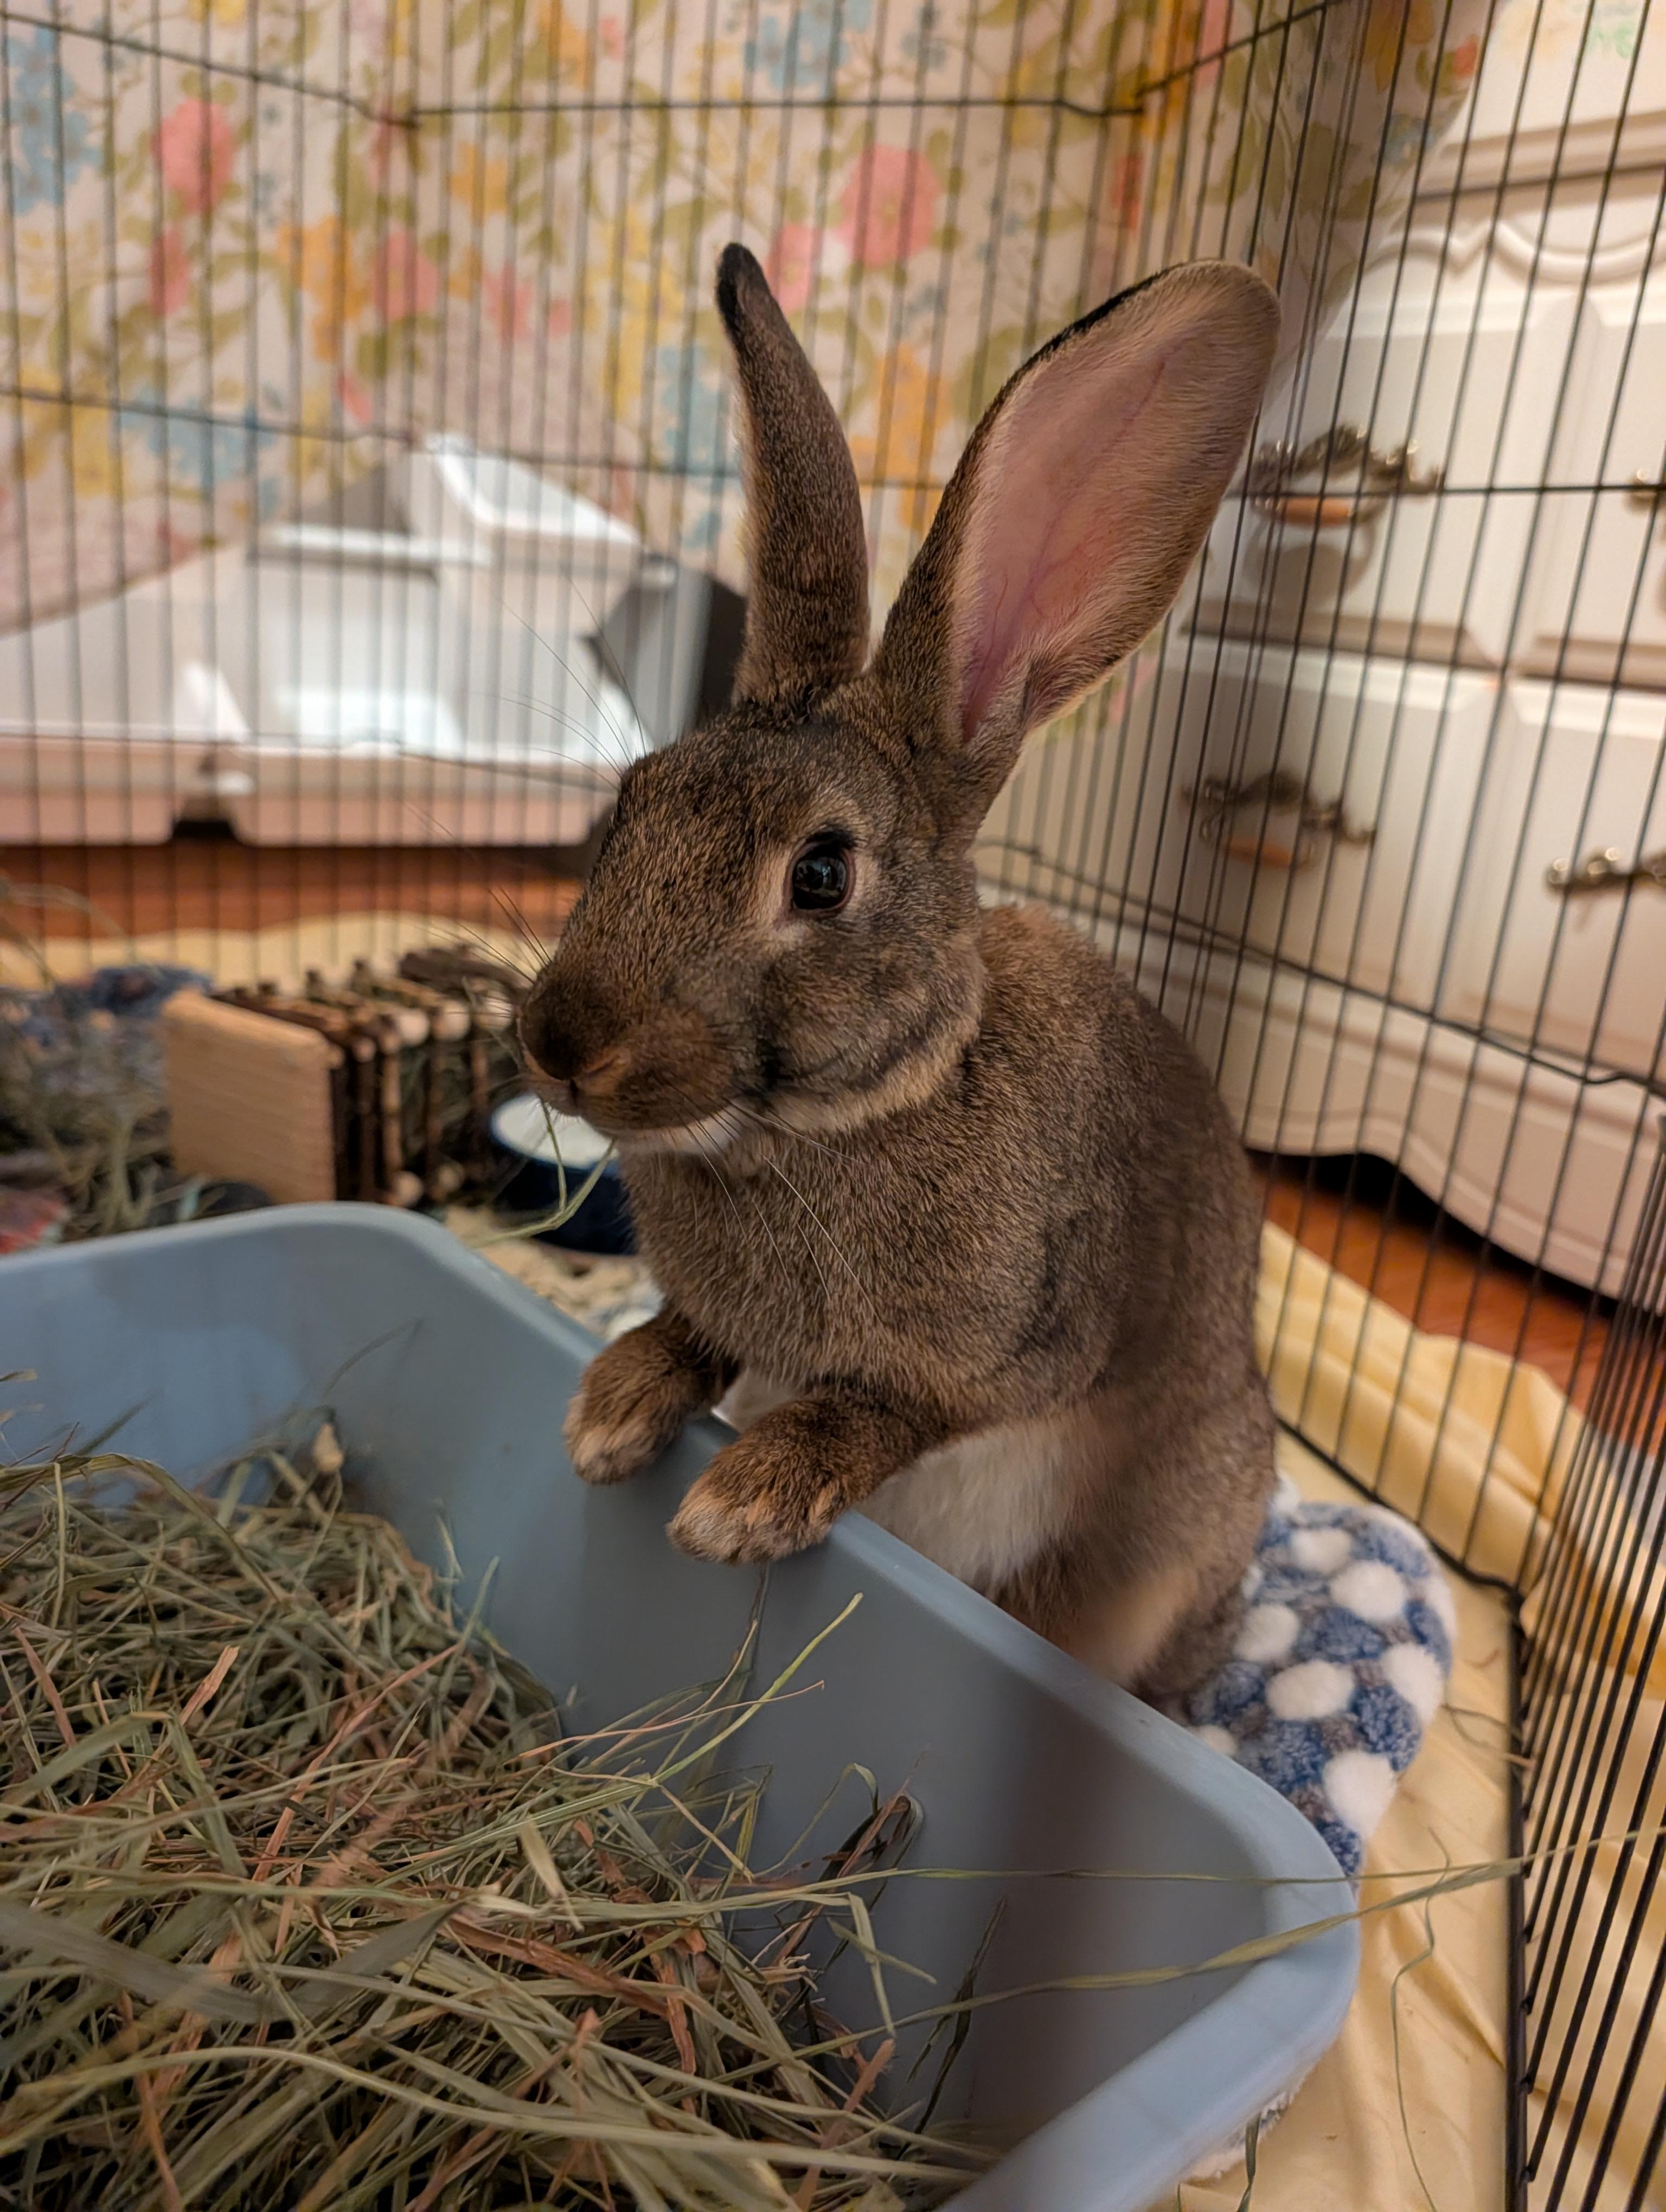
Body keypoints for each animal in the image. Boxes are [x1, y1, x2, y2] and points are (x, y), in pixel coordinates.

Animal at [519, 242, 1281, 1702]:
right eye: (627, 806)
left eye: (820, 875)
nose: (561, 1040)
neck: (843, 1117)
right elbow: (693, 1332)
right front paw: (610, 1412)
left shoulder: (1015, 1345)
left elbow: (890, 1406)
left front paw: (745, 1500)